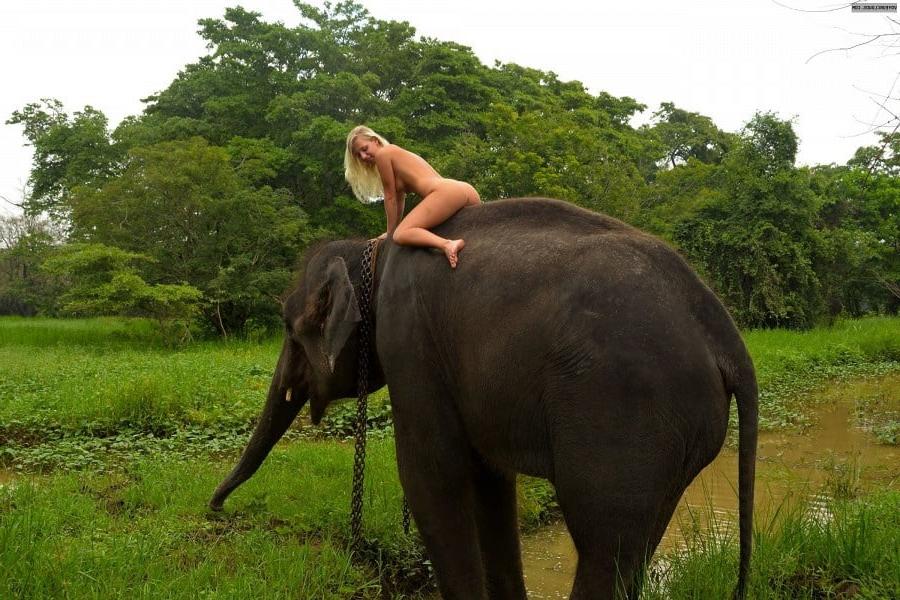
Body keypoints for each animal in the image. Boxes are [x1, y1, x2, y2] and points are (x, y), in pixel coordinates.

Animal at [210, 197, 758, 600]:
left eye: (288, 326)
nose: (215, 508)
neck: (373, 248)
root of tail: (725, 334)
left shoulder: (410, 340)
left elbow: (431, 475)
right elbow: (491, 482)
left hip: (626, 410)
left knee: (605, 541)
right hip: (675, 433)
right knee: (637, 544)